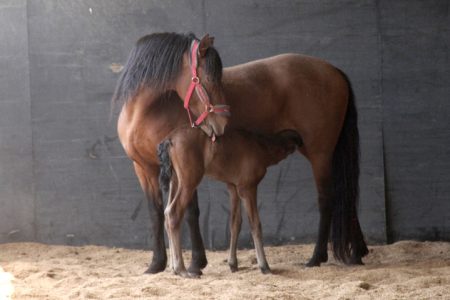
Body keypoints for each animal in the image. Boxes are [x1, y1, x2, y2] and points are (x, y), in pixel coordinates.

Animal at [158, 126, 302, 276]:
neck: (261, 146)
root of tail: (169, 139)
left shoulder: (233, 187)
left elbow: (235, 222)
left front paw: (233, 263)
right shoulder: (247, 188)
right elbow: (255, 224)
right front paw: (264, 265)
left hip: (175, 180)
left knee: (167, 213)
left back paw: (173, 267)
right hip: (188, 182)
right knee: (173, 214)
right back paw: (180, 268)